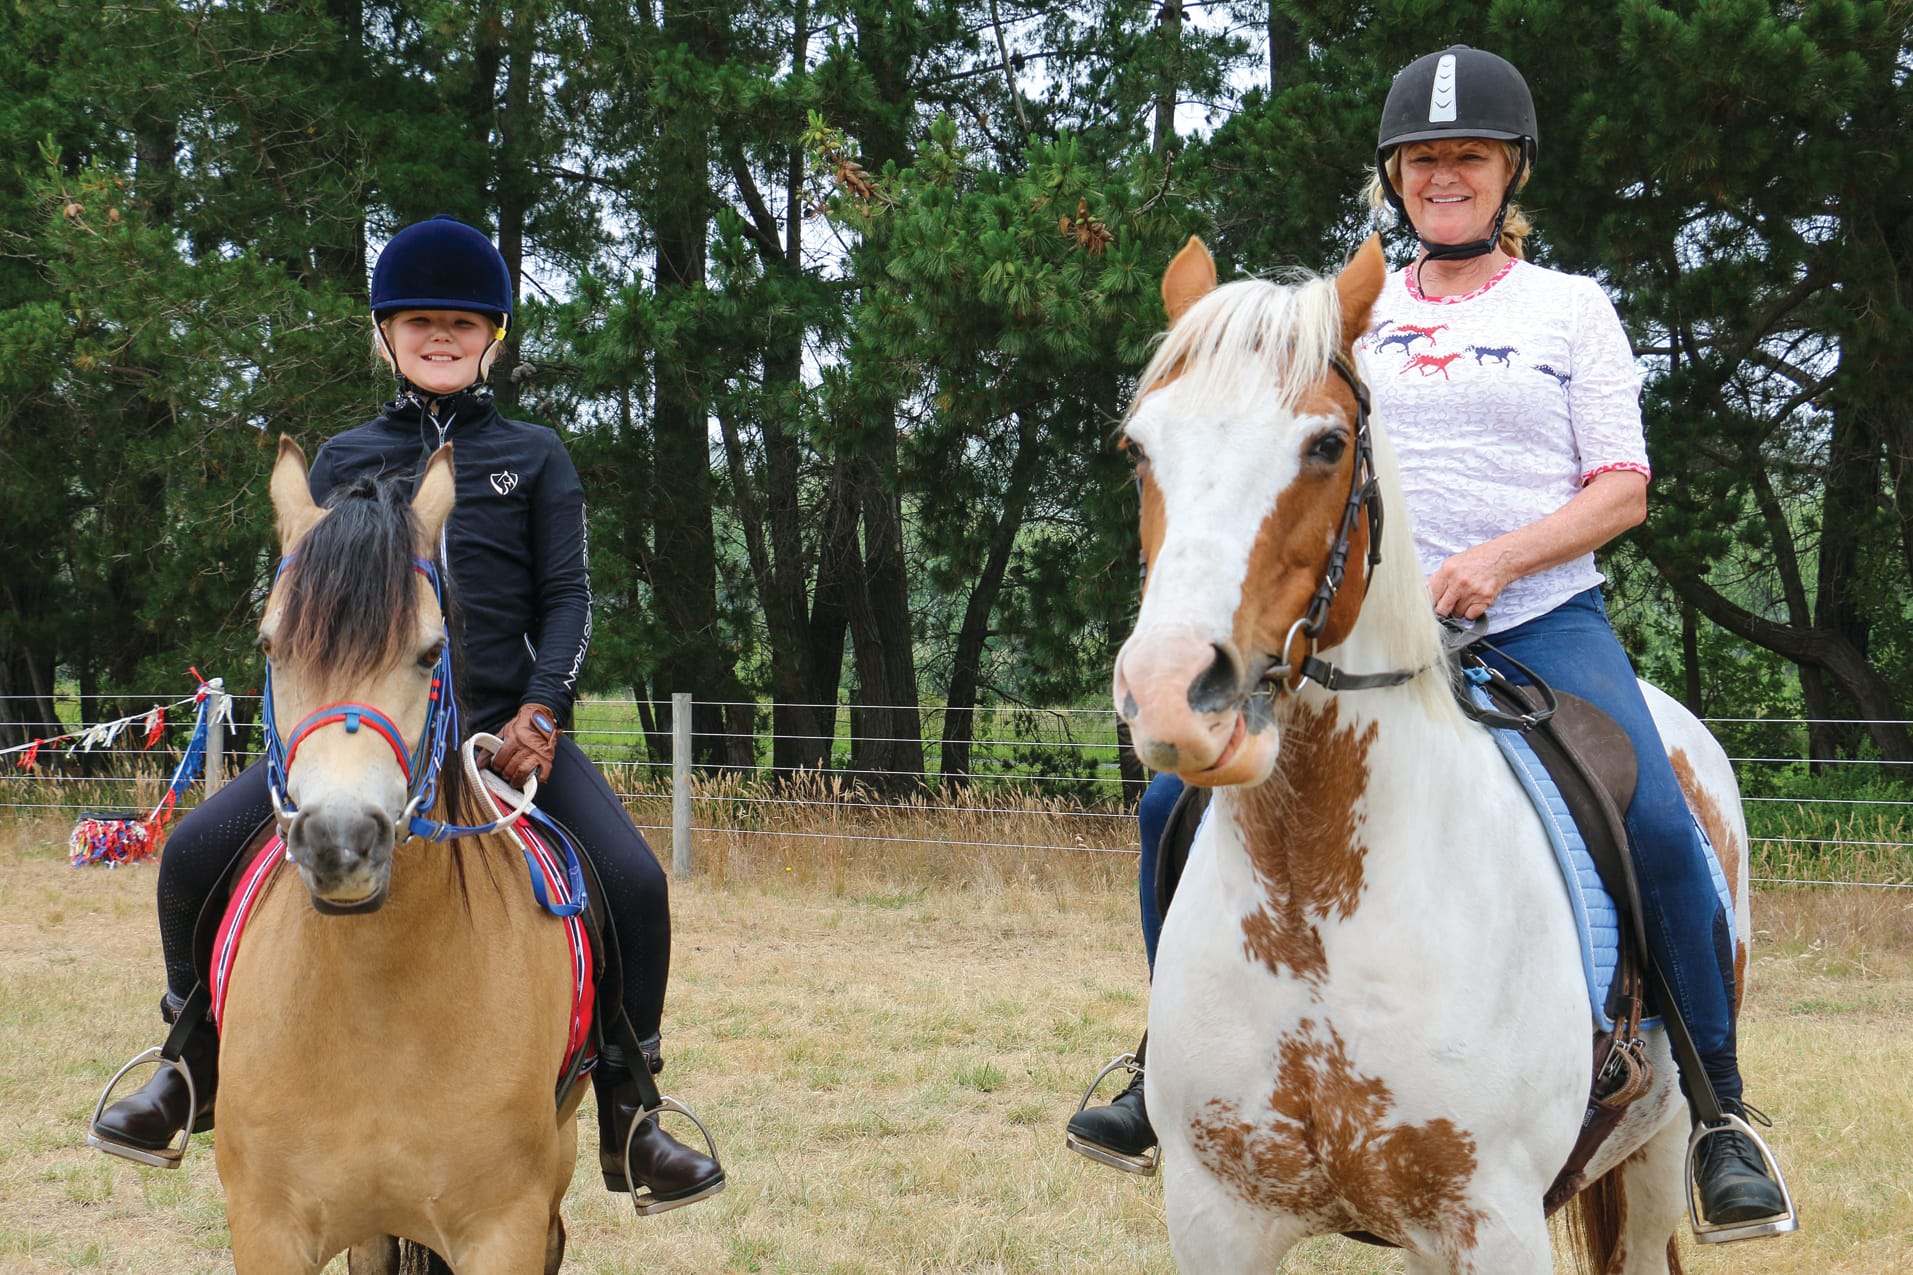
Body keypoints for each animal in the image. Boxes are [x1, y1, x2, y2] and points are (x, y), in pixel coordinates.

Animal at [215, 438, 581, 1273]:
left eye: (430, 650)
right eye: (270, 644)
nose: (340, 840)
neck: (374, 995)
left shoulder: (502, 1229)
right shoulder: (267, 1228)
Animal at [1112, 236, 1753, 1272]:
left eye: (1327, 445)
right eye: (1138, 448)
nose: (1174, 692)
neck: (1313, 900)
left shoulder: (1490, 1222)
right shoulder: (1215, 1217)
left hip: (1652, 1156)